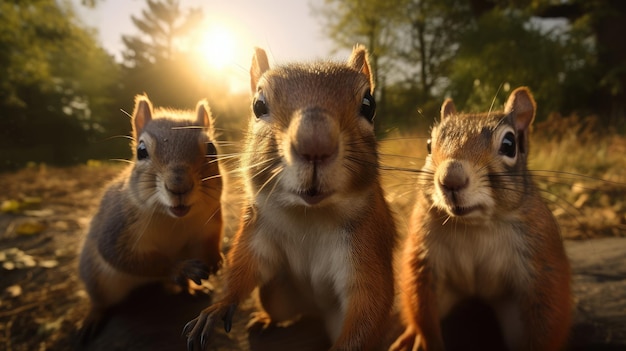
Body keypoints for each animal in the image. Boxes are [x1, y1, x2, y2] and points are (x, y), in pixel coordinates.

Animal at [78, 95, 223, 342]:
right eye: (141, 151)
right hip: (97, 277)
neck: (172, 218)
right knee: (99, 300)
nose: (178, 186)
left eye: (212, 148)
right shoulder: (117, 229)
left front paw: (214, 258)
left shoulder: (211, 219)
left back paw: (193, 289)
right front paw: (178, 268)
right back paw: (93, 317)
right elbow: (124, 257)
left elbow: (212, 238)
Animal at [183, 44, 394, 351]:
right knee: (280, 310)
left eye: (369, 104)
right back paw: (265, 321)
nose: (315, 144)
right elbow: (243, 268)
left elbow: (371, 305)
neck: (310, 214)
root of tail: (313, 310)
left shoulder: (367, 244)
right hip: (276, 295)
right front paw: (217, 308)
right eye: (258, 106)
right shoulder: (257, 230)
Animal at [388, 86, 572, 351]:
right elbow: (421, 302)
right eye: (428, 144)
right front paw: (423, 339)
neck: (474, 225)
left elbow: (546, 315)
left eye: (509, 144)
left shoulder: (542, 255)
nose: (451, 179)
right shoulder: (423, 253)